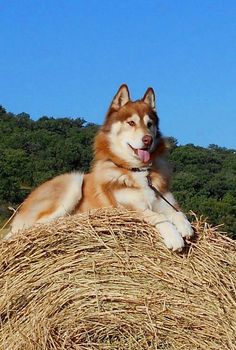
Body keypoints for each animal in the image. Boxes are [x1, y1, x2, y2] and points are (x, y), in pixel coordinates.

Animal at [6, 84, 194, 249]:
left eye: (150, 124)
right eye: (131, 123)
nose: (148, 140)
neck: (139, 170)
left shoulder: (166, 202)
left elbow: (178, 213)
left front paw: (185, 226)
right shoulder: (127, 209)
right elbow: (156, 215)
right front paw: (173, 236)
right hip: (73, 181)